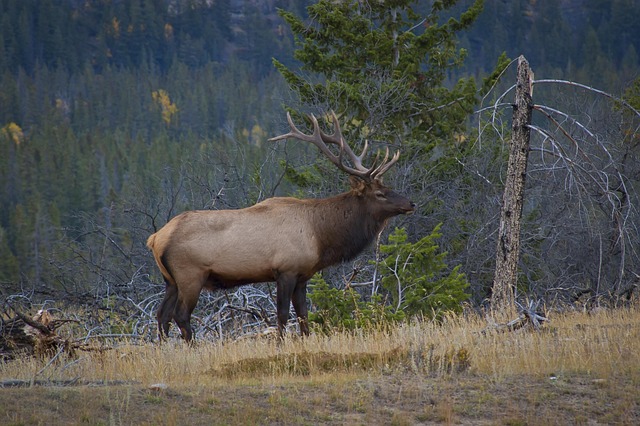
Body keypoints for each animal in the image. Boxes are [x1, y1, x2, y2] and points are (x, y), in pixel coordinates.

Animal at [146, 111, 415, 341]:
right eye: (380, 193)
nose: (410, 203)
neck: (321, 237)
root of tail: (155, 238)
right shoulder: (285, 269)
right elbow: (283, 315)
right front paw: (280, 344)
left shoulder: (303, 275)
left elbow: (304, 315)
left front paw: (305, 341)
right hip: (190, 275)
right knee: (180, 315)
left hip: (170, 280)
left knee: (161, 316)